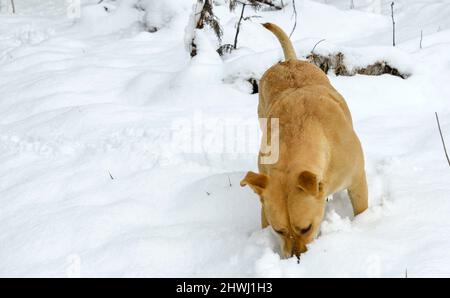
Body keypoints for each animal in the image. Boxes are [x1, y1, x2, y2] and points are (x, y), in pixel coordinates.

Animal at [241, 23, 368, 258]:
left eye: (306, 228)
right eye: (279, 230)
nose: (297, 259)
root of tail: (289, 61)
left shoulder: (357, 181)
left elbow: (361, 209)